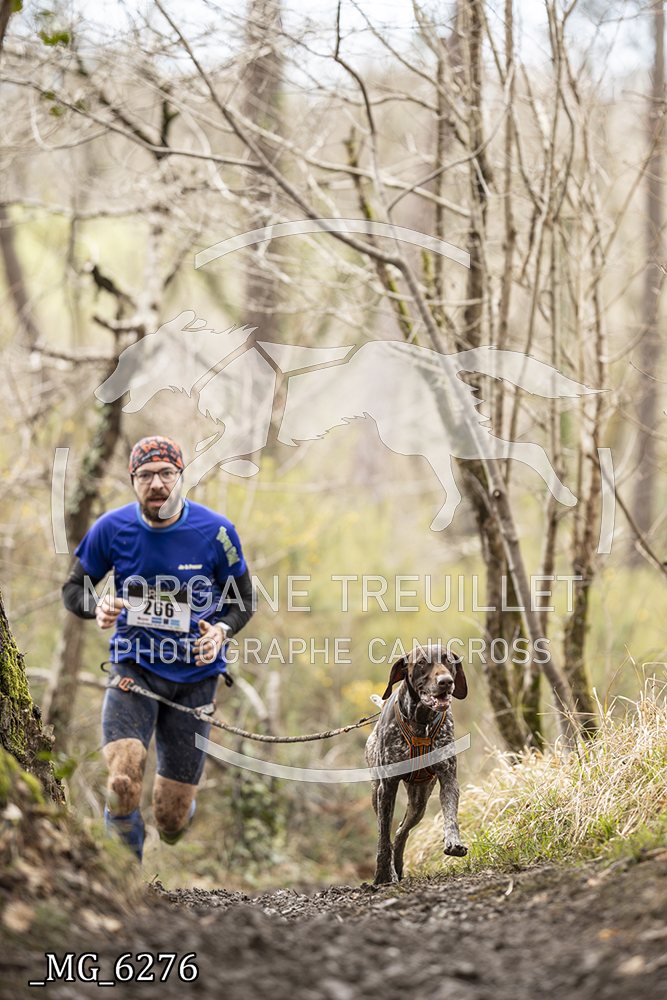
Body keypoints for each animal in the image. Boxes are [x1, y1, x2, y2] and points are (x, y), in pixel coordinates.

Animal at [365, 644, 468, 885]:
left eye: (448, 660)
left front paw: (453, 841)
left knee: (401, 831)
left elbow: (450, 815)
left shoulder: (448, 777)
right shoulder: (387, 787)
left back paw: (398, 866)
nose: (446, 681)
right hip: (376, 792)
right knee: (389, 833)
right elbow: (383, 838)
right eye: (421, 662)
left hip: (419, 803)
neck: (421, 721)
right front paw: (382, 874)